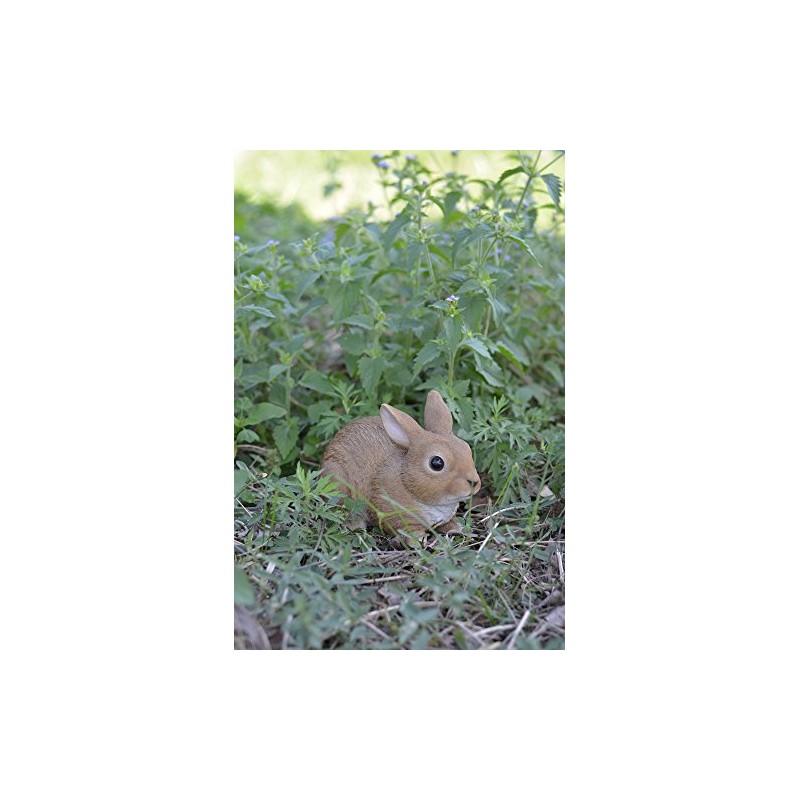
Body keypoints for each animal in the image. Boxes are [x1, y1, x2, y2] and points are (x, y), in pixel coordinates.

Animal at [321, 390, 481, 537]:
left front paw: (455, 528)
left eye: (467, 448)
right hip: (338, 482)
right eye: (436, 463)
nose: (474, 483)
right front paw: (417, 539)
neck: (407, 482)